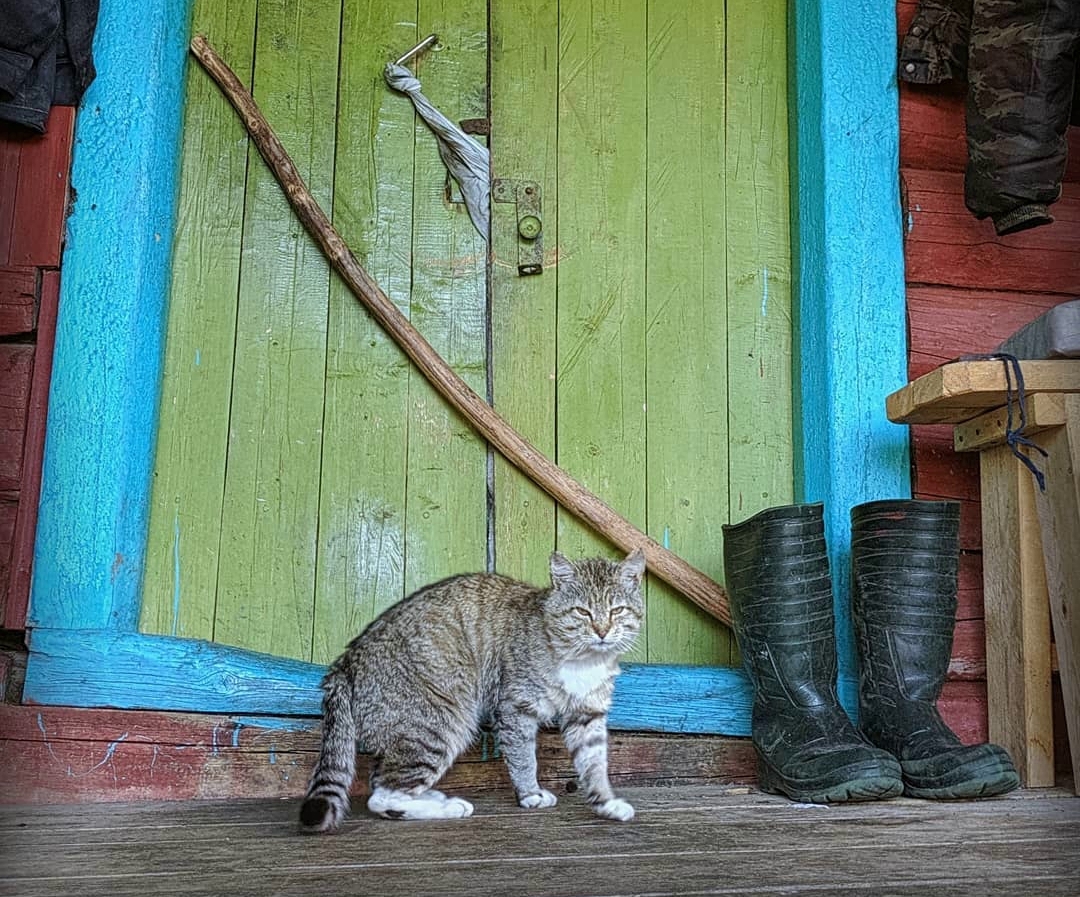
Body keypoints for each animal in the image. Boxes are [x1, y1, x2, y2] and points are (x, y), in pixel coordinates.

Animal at [300, 548, 643, 833]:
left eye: (617, 611)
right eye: (582, 612)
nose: (602, 631)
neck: (584, 660)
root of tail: (345, 662)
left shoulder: (588, 714)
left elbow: (594, 763)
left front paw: (606, 803)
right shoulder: (515, 705)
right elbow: (523, 756)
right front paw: (530, 793)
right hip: (438, 724)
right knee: (383, 795)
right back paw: (446, 807)